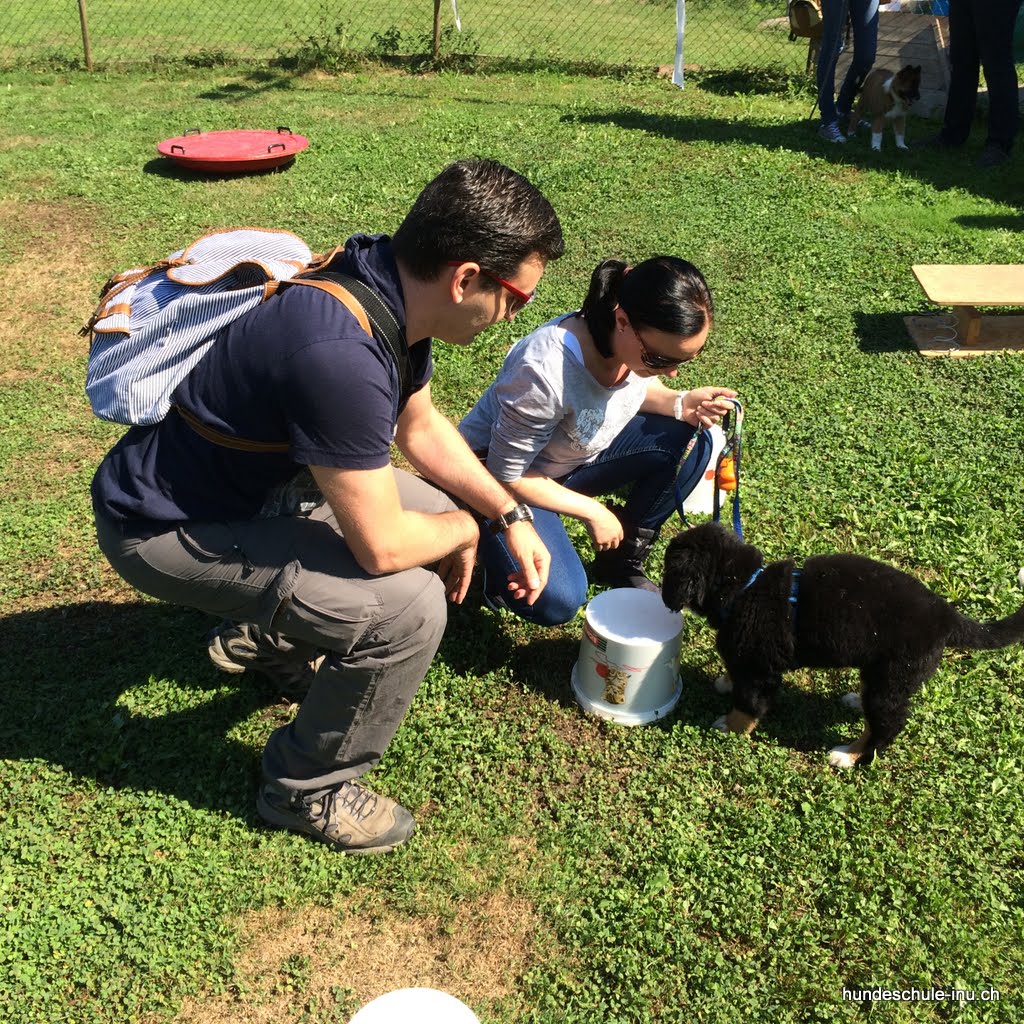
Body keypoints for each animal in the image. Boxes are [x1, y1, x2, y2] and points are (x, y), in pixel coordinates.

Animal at [661, 522, 1024, 767]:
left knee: (887, 725)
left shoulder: (760, 671)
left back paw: (849, 755)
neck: (745, 588)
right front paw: (726, 681)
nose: (664, 597)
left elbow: (748, 703)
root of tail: (947, 615)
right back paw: (854, 703)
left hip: (892, 678)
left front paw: (730, 727)